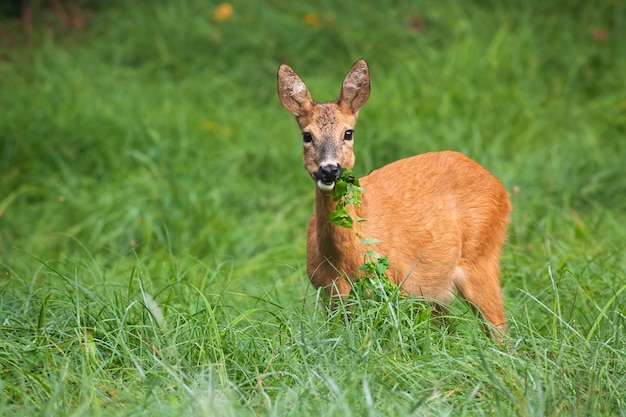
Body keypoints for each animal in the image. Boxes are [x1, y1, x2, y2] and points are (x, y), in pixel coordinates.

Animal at [276, 58, 510, 334]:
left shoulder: (395, 285)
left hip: (479, 259)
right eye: (307, 135)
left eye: (348, 132)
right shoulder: (329, 297)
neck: (343, 261)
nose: (330, 170)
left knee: (501, 330)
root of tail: (500, 188)